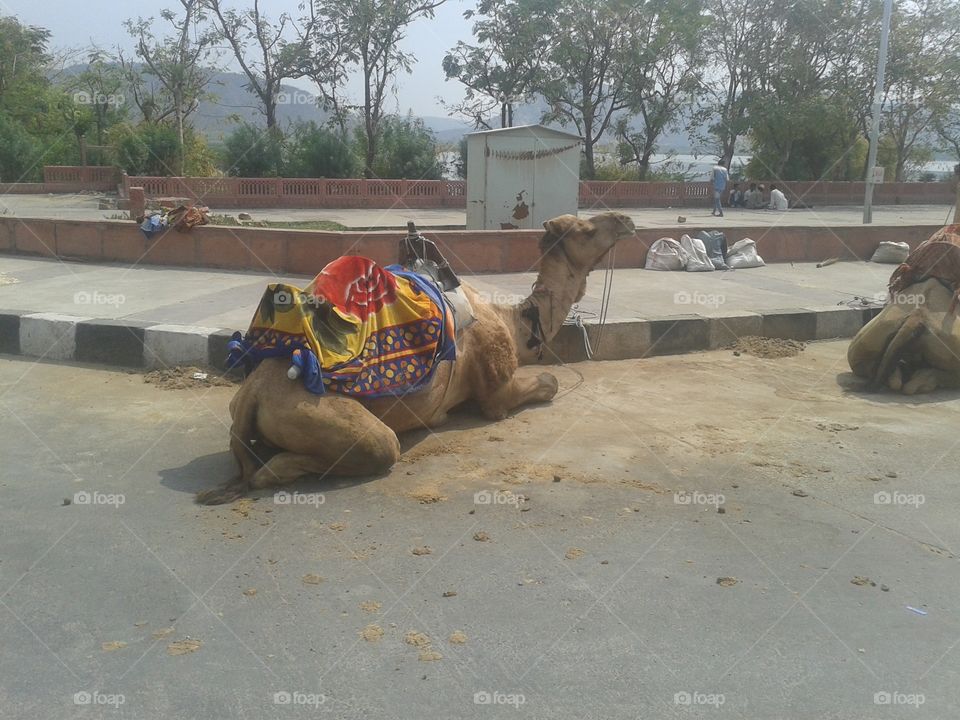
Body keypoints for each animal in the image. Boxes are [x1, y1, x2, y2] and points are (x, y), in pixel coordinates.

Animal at [196, 211, 636, 503]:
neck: (515, 321)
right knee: (376, 448)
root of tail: (254, 394)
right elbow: (549, 383)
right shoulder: (496, 390)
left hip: (243, 407)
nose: (626, 220)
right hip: (322, 415)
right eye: (586, 228)